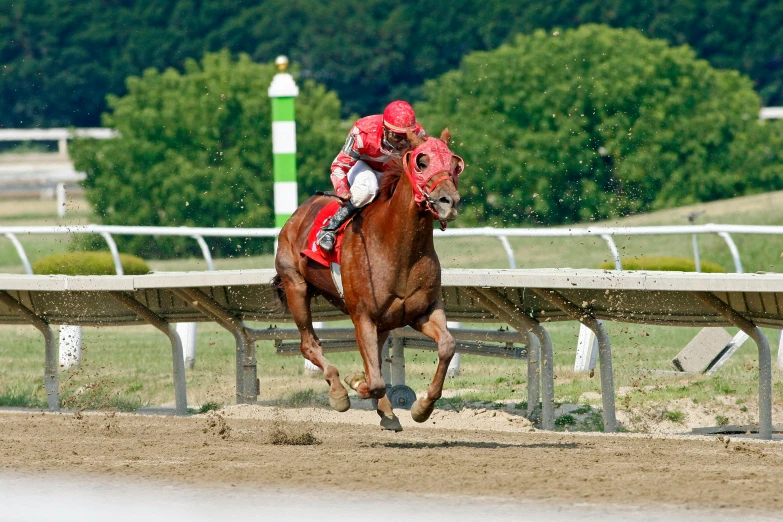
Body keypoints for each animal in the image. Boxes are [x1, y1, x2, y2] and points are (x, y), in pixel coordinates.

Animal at [272, 128, 462, 428]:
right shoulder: (362, 316)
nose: (449, 202)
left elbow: (446, 345)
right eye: (421, 162)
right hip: (296, 286)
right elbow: (374, 381)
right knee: (309, 344)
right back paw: (339, 393)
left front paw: (422, 408)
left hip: (383, 323)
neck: (397, 249)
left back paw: (387, 414)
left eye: (455, 164)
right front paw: (354, 383)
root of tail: (299, 213)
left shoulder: (422, 311)